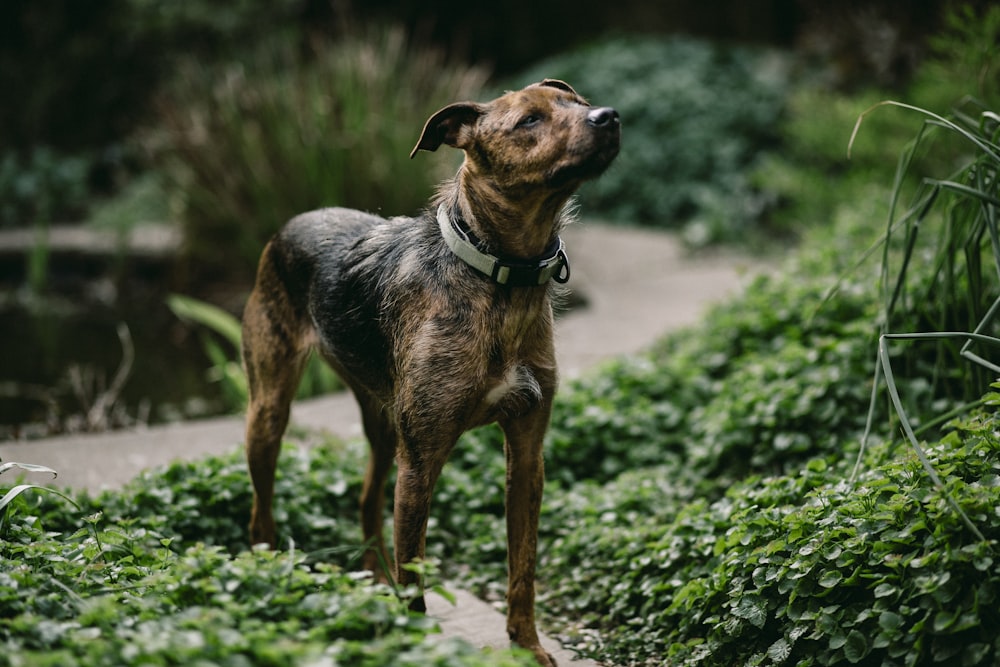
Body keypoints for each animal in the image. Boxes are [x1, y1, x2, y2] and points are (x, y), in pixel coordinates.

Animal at [242, 78, 616, 664]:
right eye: (529, 121)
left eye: (578, 104)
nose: (609, 117)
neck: (498, 277)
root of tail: (291, 223)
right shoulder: (421, 461)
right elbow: (416, 576)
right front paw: (415, 642)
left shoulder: (527, 455)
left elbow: (523, 568)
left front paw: (527, 646)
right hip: (270, 411)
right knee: (261, 511)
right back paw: (271, 577)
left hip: (382, 426)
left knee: (367, 501)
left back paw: (373, 583)